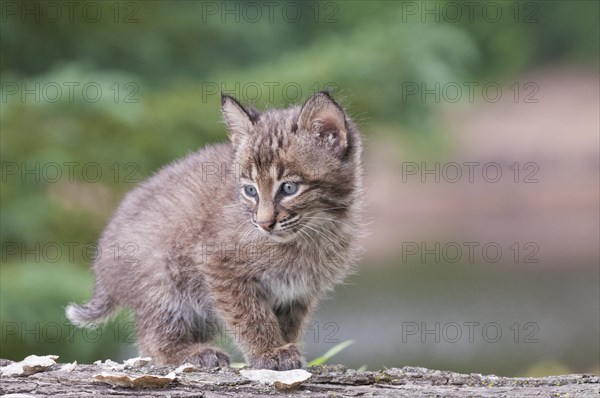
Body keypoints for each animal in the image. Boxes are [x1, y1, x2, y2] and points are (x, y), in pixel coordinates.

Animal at [68, 91, 364, 370]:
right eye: (250, 190)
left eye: (289, 188)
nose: (264, 223)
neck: (313, 231)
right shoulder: (217, 263)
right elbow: (250, 315)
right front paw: (270, 352)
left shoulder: (298, 291)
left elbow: (288, 323)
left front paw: (284, 347)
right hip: (163, 278)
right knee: (150, 338)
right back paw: (192, 353)